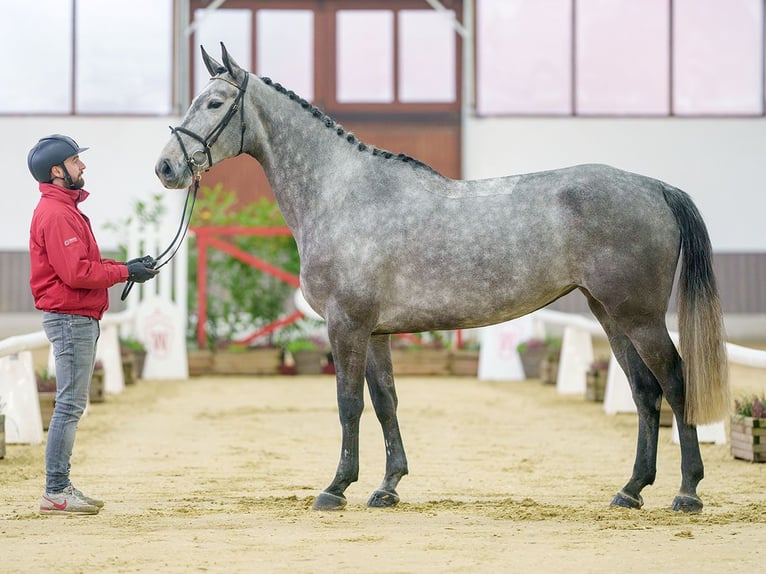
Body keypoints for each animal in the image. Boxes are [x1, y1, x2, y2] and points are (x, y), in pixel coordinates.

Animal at [154, 44, 732, 512]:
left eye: (214, 103)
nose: (166, 168)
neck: (341, 194)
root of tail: (654, 186)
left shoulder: (347, 325)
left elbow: (348, 404)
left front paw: (336, 488)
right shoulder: (376, 332)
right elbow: (385, 403)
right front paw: (387, 487)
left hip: (639, 316)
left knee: (675, 383)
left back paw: (687, 492)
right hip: (608, 313)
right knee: (644, 392)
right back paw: (630, 491)